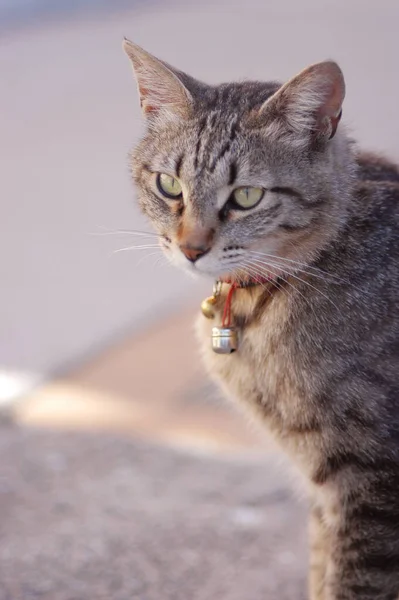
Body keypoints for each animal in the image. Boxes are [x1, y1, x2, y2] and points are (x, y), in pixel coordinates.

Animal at [122, 39, 399, 596]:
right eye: (169, 185)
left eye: (246, 196)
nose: (191, 249)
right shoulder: (324, 487)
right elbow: (319, 572)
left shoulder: (372, 480)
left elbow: (351, 582)